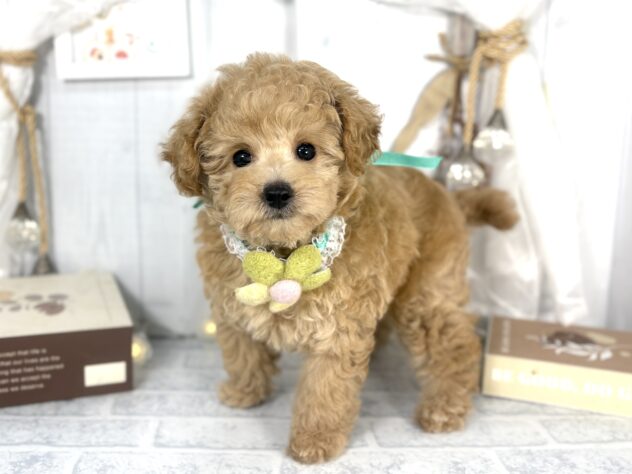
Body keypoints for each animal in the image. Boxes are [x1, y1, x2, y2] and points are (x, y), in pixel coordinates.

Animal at [162, 53, 517, 464]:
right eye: (240, 157)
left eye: (306, 150)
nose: (277, 192)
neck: (284, 257)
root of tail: (450, 198)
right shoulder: (232, 310)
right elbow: (243, 352)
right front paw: (245, 392)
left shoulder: (336, 329)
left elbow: (325, 389)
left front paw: (315, 441)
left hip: (427, 291)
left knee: (455, 344)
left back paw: (444, 408)